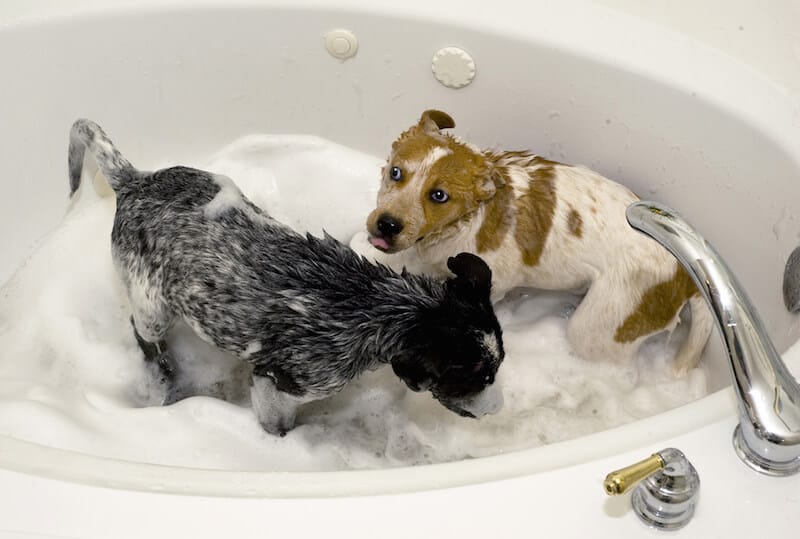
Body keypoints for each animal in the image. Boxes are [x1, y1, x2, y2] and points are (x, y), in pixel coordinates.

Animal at [70, 120, 506, 436]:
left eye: (497, 368)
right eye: (475, 376)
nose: (499, 409)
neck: (371, 305)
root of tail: (133, 180)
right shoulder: (278, 384)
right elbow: (277, 425)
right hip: (151, 304)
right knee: (143, 332)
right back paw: (163, 370)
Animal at [356, 107, 712, 374]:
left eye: (439, 196)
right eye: (396, 172)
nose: (387, 225)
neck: (466, 222)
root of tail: (685, 275)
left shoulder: (495, 282)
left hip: (602, 325)